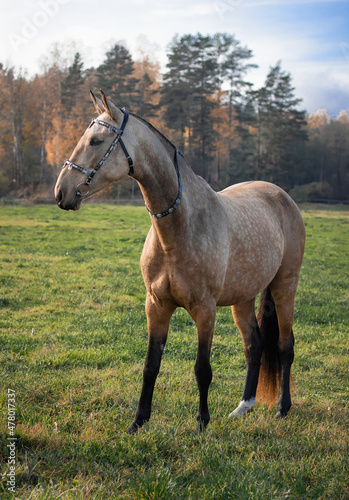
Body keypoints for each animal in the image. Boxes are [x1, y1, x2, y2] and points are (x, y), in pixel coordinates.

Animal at [54, 91, 304, 434]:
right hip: (243, 298)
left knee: (284, 345)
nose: (61, 191)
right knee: (254, 345)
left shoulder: (205, 310)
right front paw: (138, 422)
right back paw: (244, 406)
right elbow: (150, 365)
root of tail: (281, 195)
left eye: (95, 140)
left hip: (284, 287)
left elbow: (202, 369)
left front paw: (201, 423)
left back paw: (282, 408)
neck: (180, 228)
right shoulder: (156, 306)